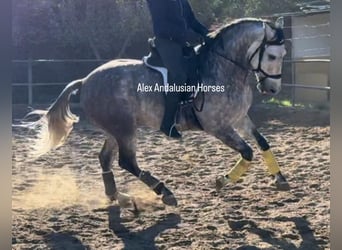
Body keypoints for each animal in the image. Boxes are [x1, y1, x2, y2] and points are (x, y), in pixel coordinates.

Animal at [20, 17, 288, 207]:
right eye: (272, 55)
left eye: (283, 55)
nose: (272, 89)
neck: (222, 68)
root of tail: (85, 80)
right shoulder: (218, 127)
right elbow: (248, 152)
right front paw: (222, 181)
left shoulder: (240, 119)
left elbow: (262, 142)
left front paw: (280, 179)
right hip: (125, 130)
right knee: (127, 161)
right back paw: (165, 193)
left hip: (115, 130)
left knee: (105, 158)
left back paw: (119, 197)